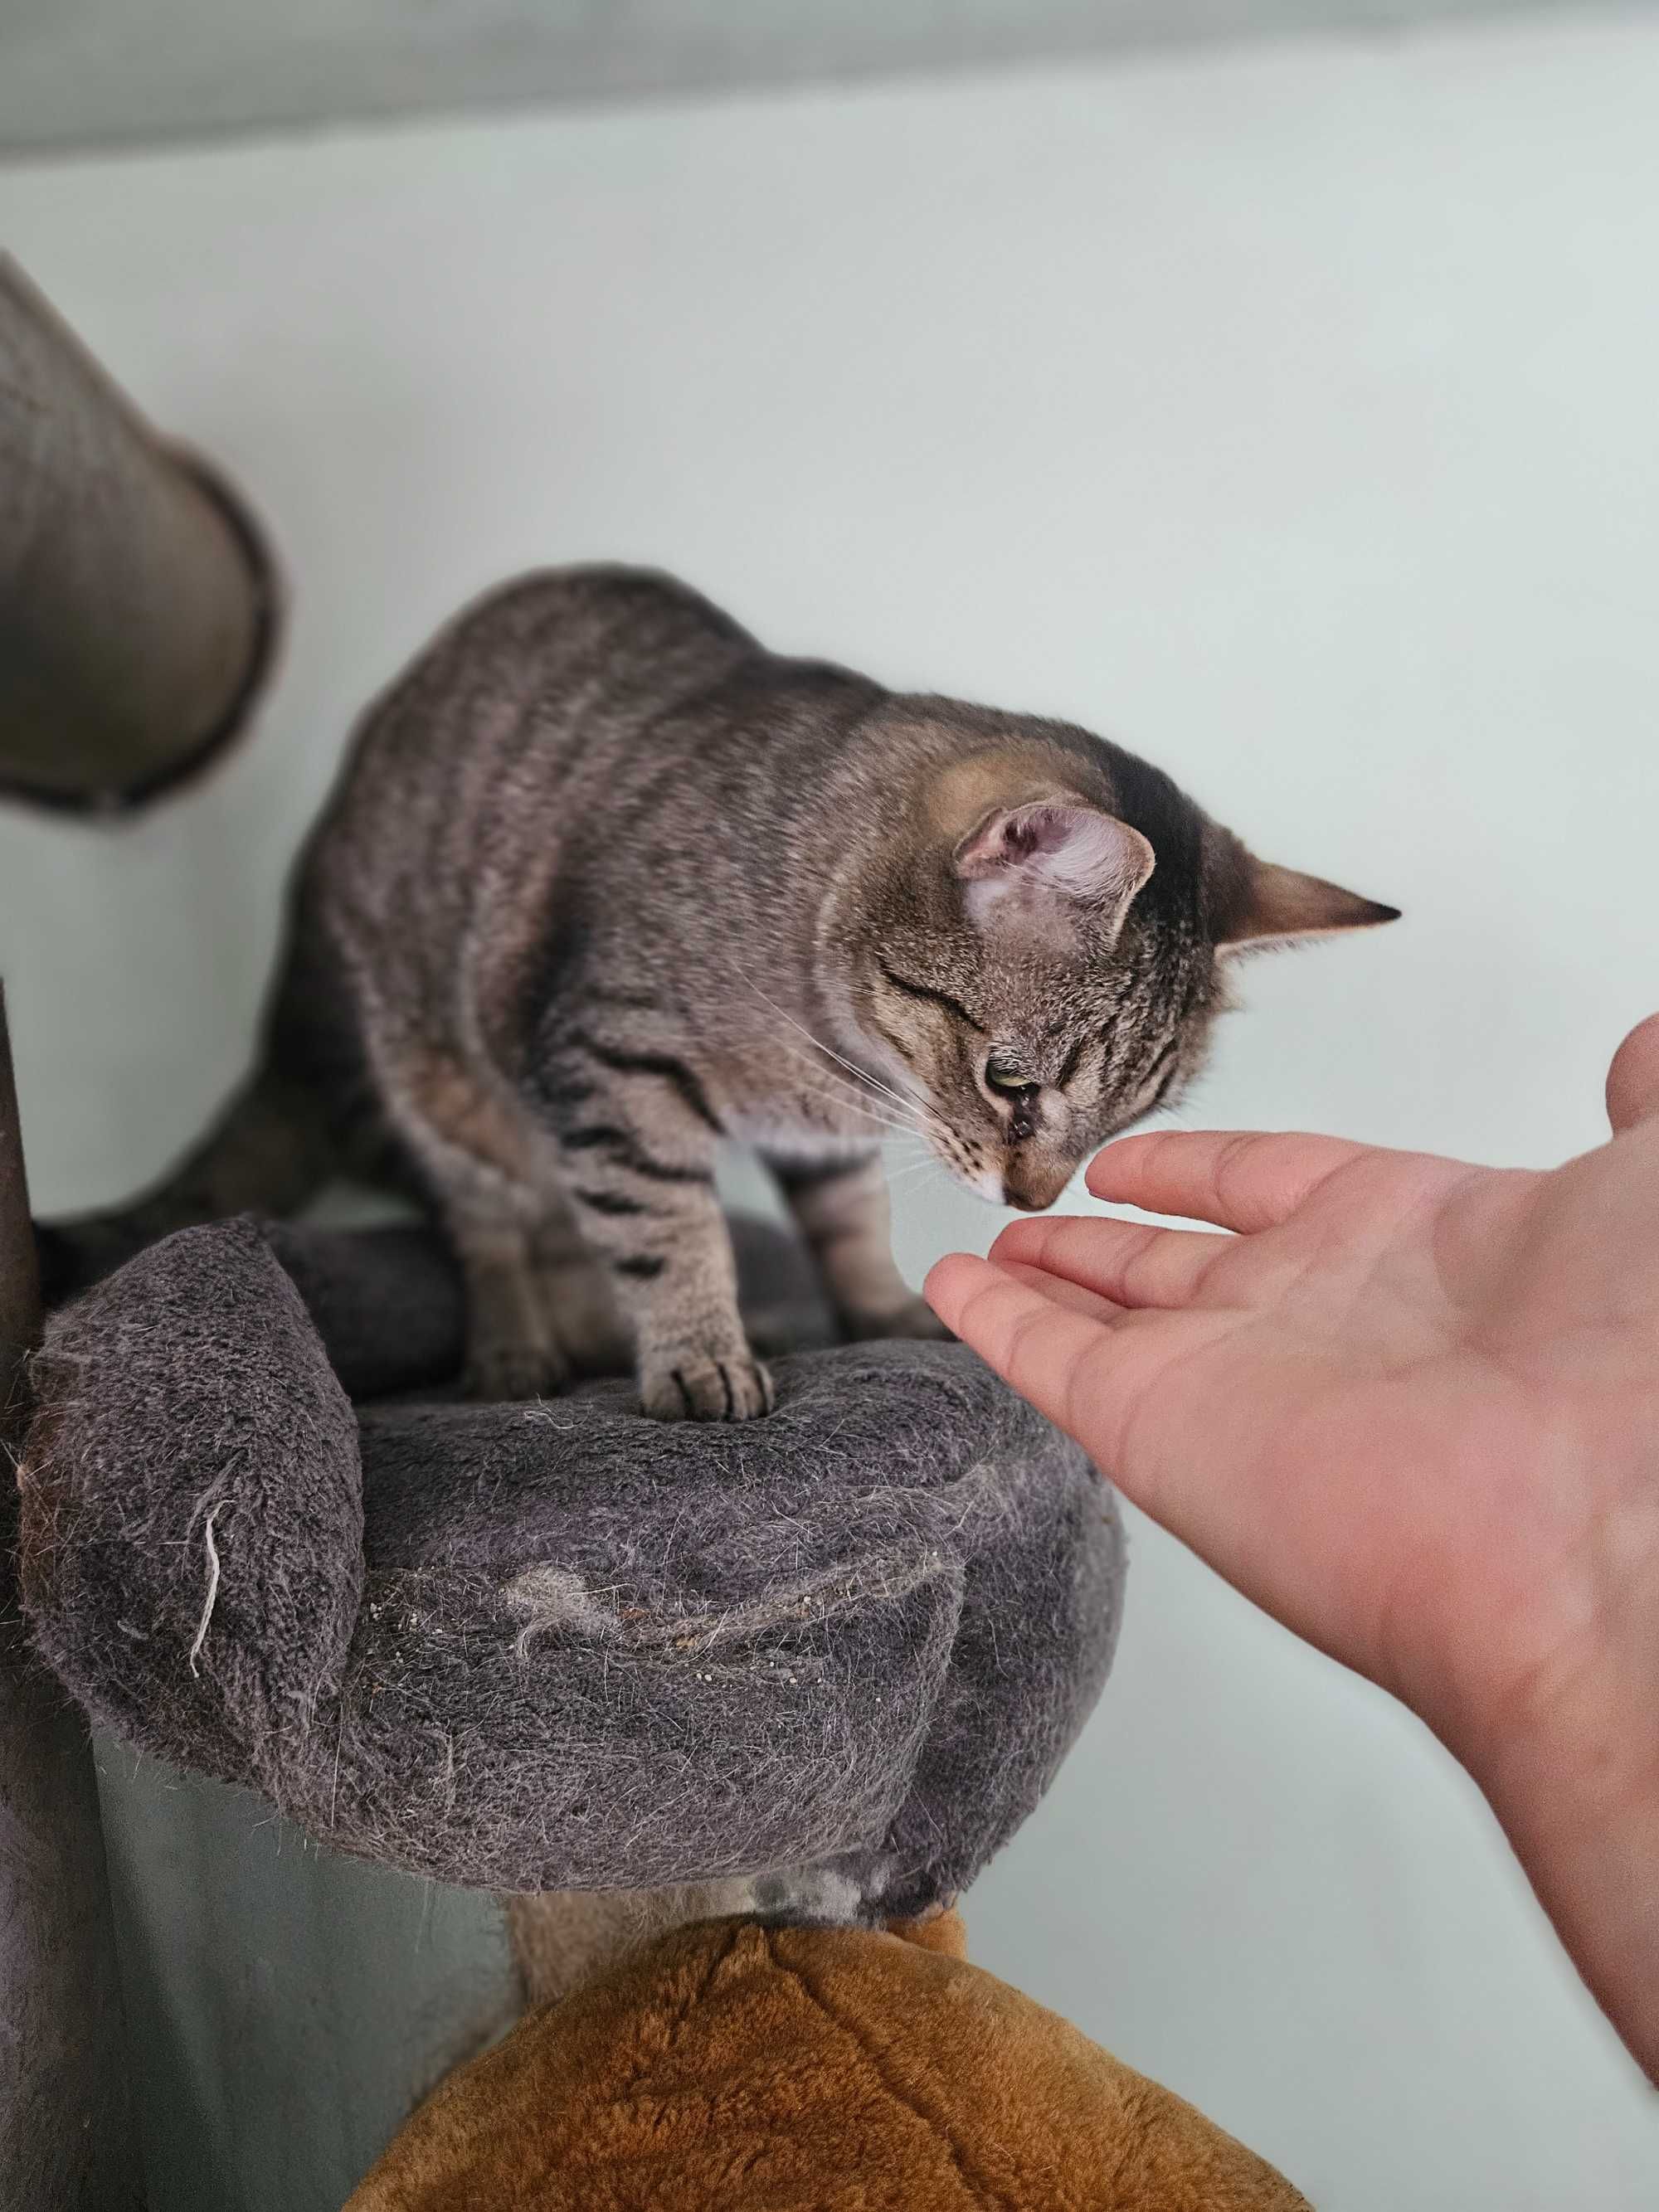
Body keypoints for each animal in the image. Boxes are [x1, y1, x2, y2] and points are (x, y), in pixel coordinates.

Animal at [45, 571, 1398, 1415]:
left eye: (1121, 1124)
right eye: (1011, 1082)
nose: (1028, 1200)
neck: (844, 1061)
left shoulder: (821, 1136)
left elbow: (846, 1220)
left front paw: (877, 1307)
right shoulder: (612, 1065)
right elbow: (666, 1225)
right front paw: (700, 1355)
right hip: (440, 1072)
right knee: (491, 1221)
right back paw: (521, 1346)